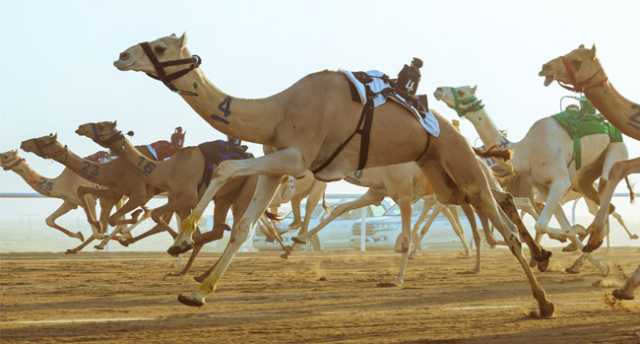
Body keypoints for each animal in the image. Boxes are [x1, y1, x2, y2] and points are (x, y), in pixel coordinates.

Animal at [115, 33, 556, 318]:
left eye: (159, 46)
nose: (121, 55)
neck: (275, 111)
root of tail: (458, 135)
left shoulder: (295, 159)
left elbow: (224, 168)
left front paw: (182, 241)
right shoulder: (276, 167)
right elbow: (242, 227)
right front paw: (199, 290)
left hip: (463, 168)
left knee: (504, 223)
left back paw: (544, 301)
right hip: (445, 181)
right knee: (483, 210)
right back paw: (538, 263)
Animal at [430, 84, 632, 274]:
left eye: (462, 91)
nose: (438, 89)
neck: (526, 151)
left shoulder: (560, 181)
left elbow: (540, 224)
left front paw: (565, 244)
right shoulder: (544, 186)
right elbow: (560, 227)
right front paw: (592, 260)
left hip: (615, 152)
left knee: (606, 203)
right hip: (583, 180)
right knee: (605, 207)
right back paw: (581, 257)